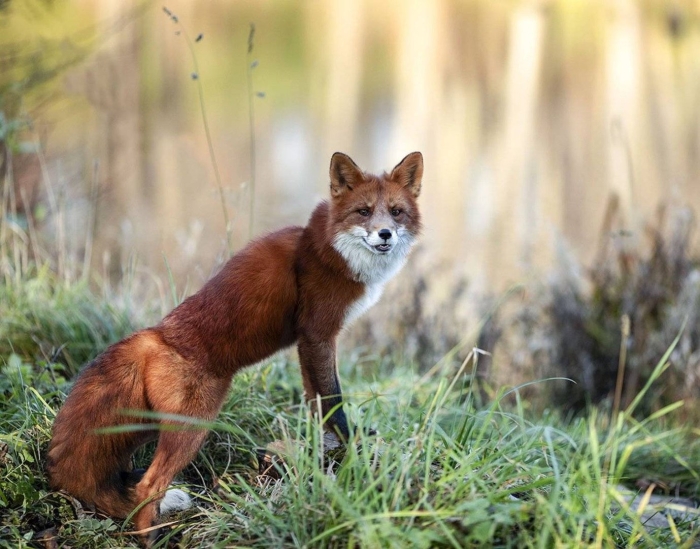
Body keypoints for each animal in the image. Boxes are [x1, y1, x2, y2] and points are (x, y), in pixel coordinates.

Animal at [47, 151, 423, 542]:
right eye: (364, 211)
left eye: (396, 212)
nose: (385, 233)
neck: (331, 248)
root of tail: (155, 336)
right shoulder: (319, 334)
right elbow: (334, 402)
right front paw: (352, 447)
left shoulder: (308, 345)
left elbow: (315, 404)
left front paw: (320, 451)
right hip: (193, 426)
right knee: (148, 485)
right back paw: (154, 537)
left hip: (158, 426)